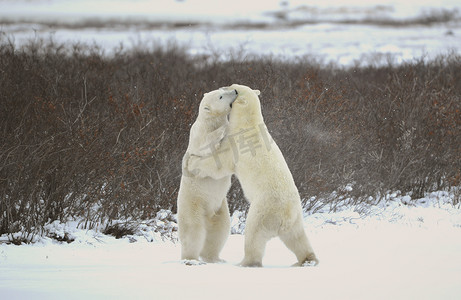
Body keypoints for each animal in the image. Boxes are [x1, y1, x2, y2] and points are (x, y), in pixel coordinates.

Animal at [176, 86, 237, 262]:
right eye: (221, 96)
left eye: (223, 89)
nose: (235, 91)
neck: (210, 121)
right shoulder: (198, 133)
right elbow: (206, 144)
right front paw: (223, 130)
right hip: (193, 205)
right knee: (193, 232)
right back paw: (191, 258)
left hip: (220, 209)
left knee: (220, 231)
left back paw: (214, 258)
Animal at [189, 83, 318, 266]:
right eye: (233, 85)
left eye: (235, 90)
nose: (225, 86)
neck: (248, 124)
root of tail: (286, 215)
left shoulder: (235, 144)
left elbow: (219, 164)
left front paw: (192, 163)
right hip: (296, 217)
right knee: (297, 237)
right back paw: (307, 260)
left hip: (264, 209)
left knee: (254, 234)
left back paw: (245, 262)